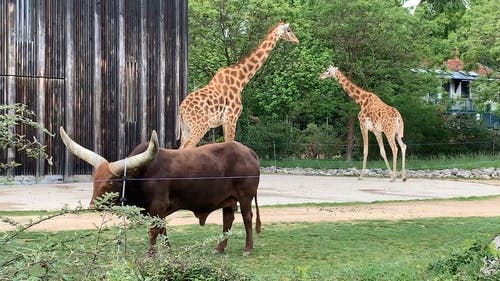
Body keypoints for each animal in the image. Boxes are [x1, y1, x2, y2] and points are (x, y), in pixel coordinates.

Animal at [59, 128, 262, 255]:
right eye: (95, 179)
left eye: (110, 182)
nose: (93, 205)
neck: (142, 175)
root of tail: (250, 153)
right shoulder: (158, 210)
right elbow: (162, 229)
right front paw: (168, 251)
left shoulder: (158, 206)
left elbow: (154, 231)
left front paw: (150, 254)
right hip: (228, 199)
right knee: (228, 220)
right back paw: (219, 248)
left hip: (245, 197)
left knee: (247, 218)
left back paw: (248, 248)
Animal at [179, 20, 298, 149]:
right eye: (289, 30)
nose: (297, 40)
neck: (240, 80)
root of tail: (181, 111)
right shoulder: (231, 117)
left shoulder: (227, 120)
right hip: (200, 126)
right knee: (187, 148)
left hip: (186, 129)